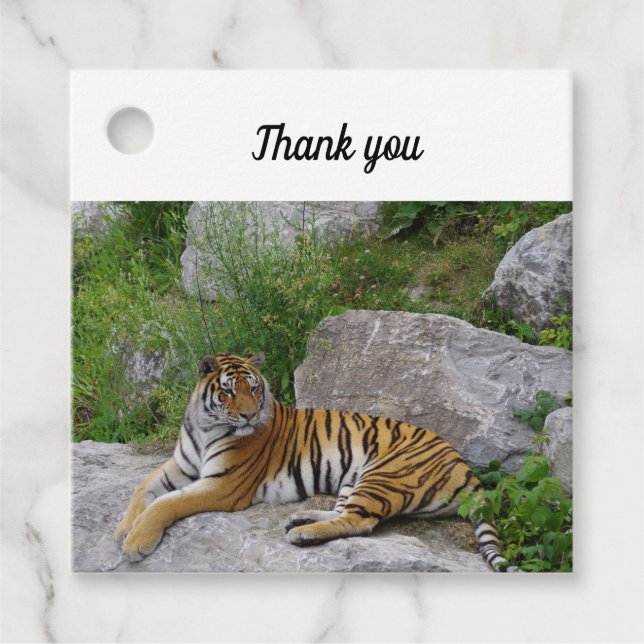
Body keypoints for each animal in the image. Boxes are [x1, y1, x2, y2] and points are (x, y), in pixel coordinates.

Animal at [115, 351, 509, 571]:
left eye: (254, 388)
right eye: (227, 391)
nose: (248, 416)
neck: (205, 425)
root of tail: (465, 466)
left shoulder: (222, 485)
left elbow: (167, 504)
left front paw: (136, 542)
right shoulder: (180, 465)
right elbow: (142, 490)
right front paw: (123, 528)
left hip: (383, 475)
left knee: (359, 523)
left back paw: (302, 534)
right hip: (353, 479)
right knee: (343, 512)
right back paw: (300, 518)